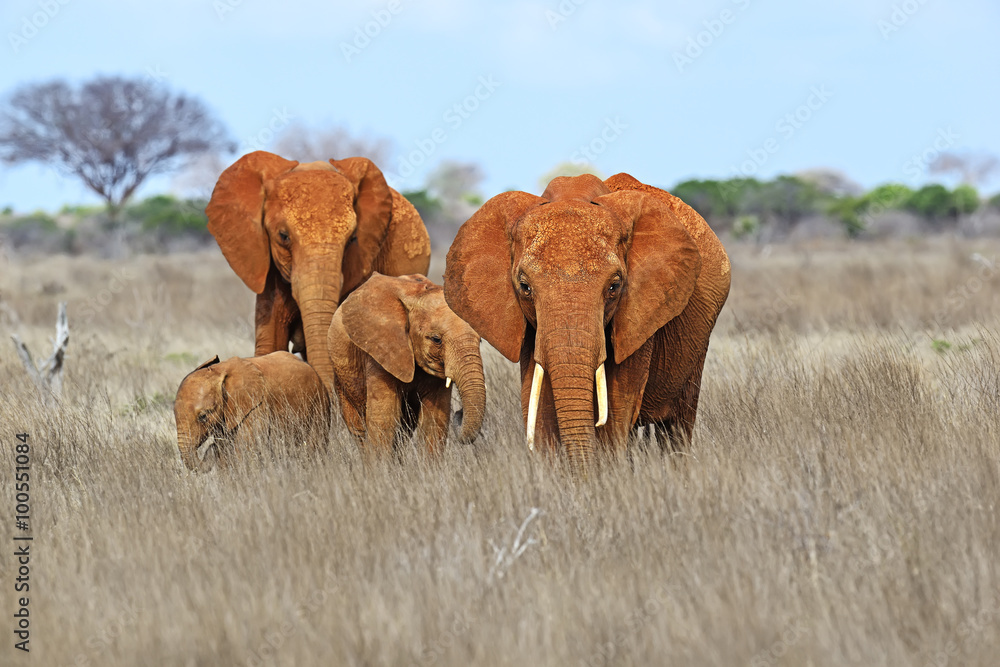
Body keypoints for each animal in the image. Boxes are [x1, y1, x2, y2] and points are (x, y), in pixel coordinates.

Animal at [174, 352, 331, 471]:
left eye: (203, 416)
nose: (209, 448)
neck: (219, 371)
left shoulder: (256, 407)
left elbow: (244, 450)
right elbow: (225, 451)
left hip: (319, 403)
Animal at [327, 273, 486, 457]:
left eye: (480, 340)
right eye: (436, 339)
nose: (460, 412)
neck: (417, 297)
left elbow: (434, 421)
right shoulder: (380, 350)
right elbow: (384, 419)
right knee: (358, 429)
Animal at [444, 172, 731, 469]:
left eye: (614, 287)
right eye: (524, 287)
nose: (458, 415)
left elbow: (616, 410)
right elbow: (539, 407)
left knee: (676, 425)